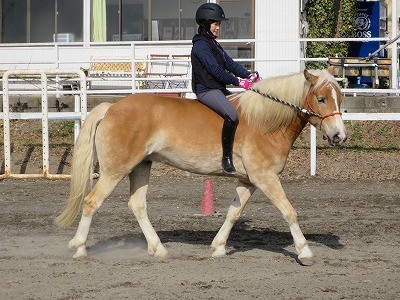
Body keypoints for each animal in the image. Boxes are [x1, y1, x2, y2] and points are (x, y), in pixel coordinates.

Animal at [55, 68, 346, 264]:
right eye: (321, 99)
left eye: (340, 98)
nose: (339, 136)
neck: (265, 121)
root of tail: (111, 108)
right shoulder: (265, 178)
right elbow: (289, 212)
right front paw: (304, 251)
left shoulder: (249, 180)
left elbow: (233, 213)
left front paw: (218, 247)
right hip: (115, 170)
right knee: (92, 202)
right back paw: (79, 247)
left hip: (141, 166)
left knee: (137, 205)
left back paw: (158, 248)